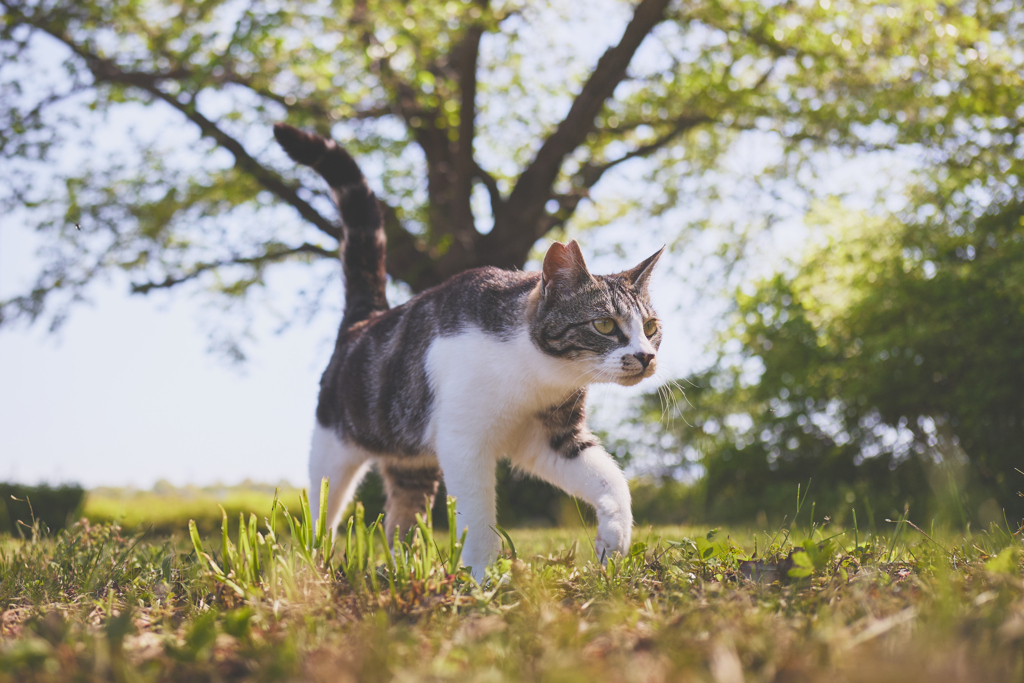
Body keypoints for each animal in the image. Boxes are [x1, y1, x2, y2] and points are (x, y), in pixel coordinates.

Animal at [276, 122, 667, 577]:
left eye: (651, 328)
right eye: (604, 325)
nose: (646, 356)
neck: (537, 373)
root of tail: (364, 320)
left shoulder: (551, 439)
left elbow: (612, 481)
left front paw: (613, 540)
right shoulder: (463, 442)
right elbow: (478, 521)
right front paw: (484, 578)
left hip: (411, 462)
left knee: (401, 518)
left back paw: (402, 567)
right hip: (332, 450)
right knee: (323, 511)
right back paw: (315, 564)